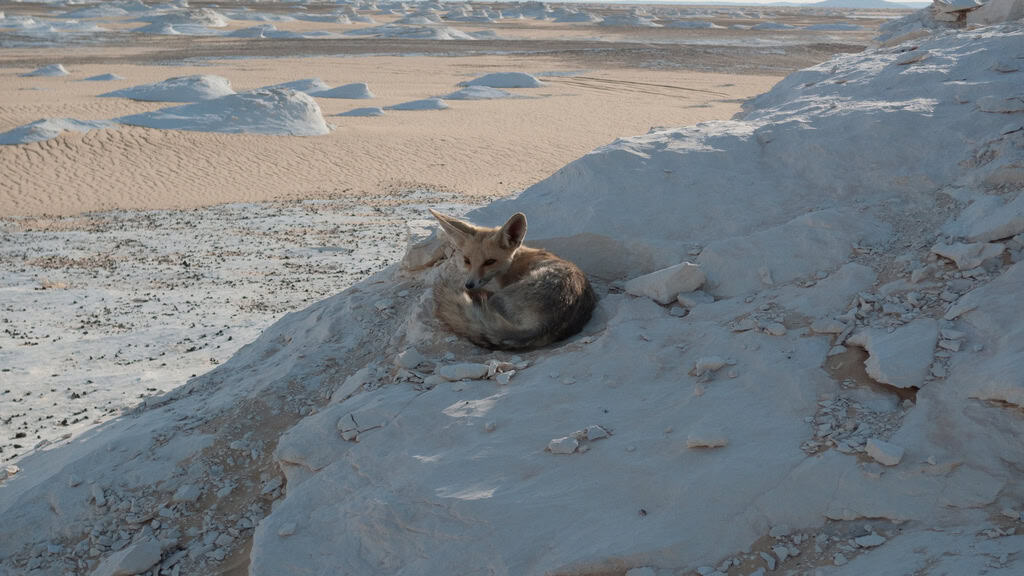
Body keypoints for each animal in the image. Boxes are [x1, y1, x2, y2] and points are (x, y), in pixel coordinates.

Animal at [429, 209, 597, 350]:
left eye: (490, 262)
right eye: (467, 260)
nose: (469, 285)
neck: (516, 260)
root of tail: (543, 326)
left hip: (498, 298)